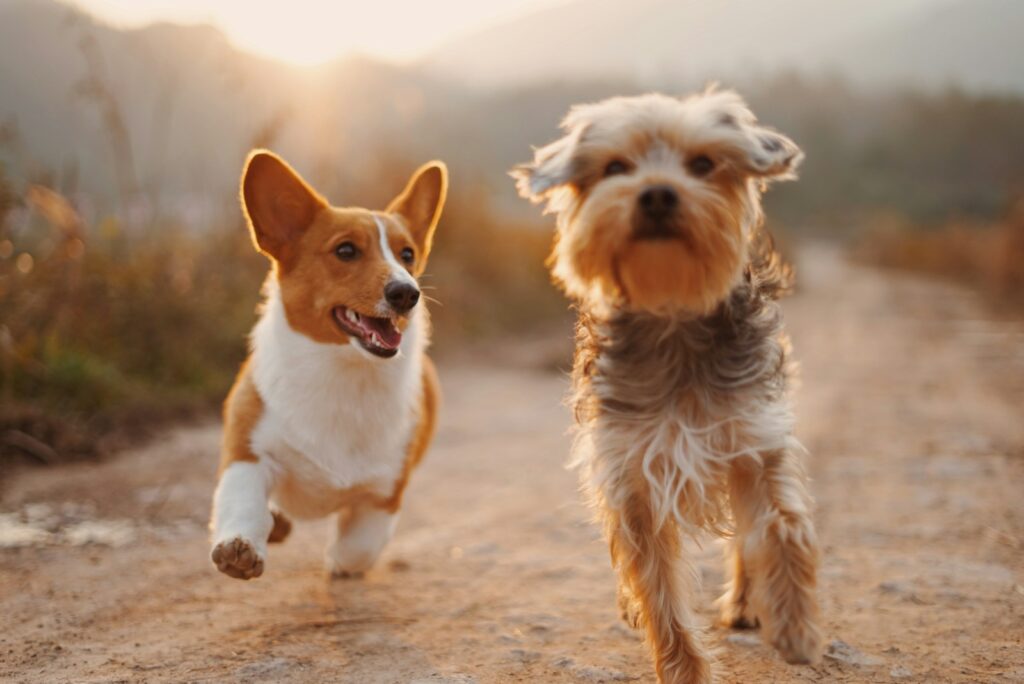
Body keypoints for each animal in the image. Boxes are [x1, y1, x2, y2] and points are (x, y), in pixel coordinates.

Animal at [209, 150, 446, 581]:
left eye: (407, 255)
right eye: (346, 251)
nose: (407, 293)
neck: (343, 372)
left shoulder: (384, 493)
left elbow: (358, 548)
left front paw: (338, 562)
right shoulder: (248, 453)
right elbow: (243, 502)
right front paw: (240, 547)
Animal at [512, 89, 823, 679]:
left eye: (702, 164)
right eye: (615, 168)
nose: (657, 193)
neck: (672, 313)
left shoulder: (754, 439)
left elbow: (782, 525)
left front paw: (795, 623)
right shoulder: (631, 472)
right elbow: (657, 586)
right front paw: (685, 669)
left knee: (745, 538)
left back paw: (747, 602)